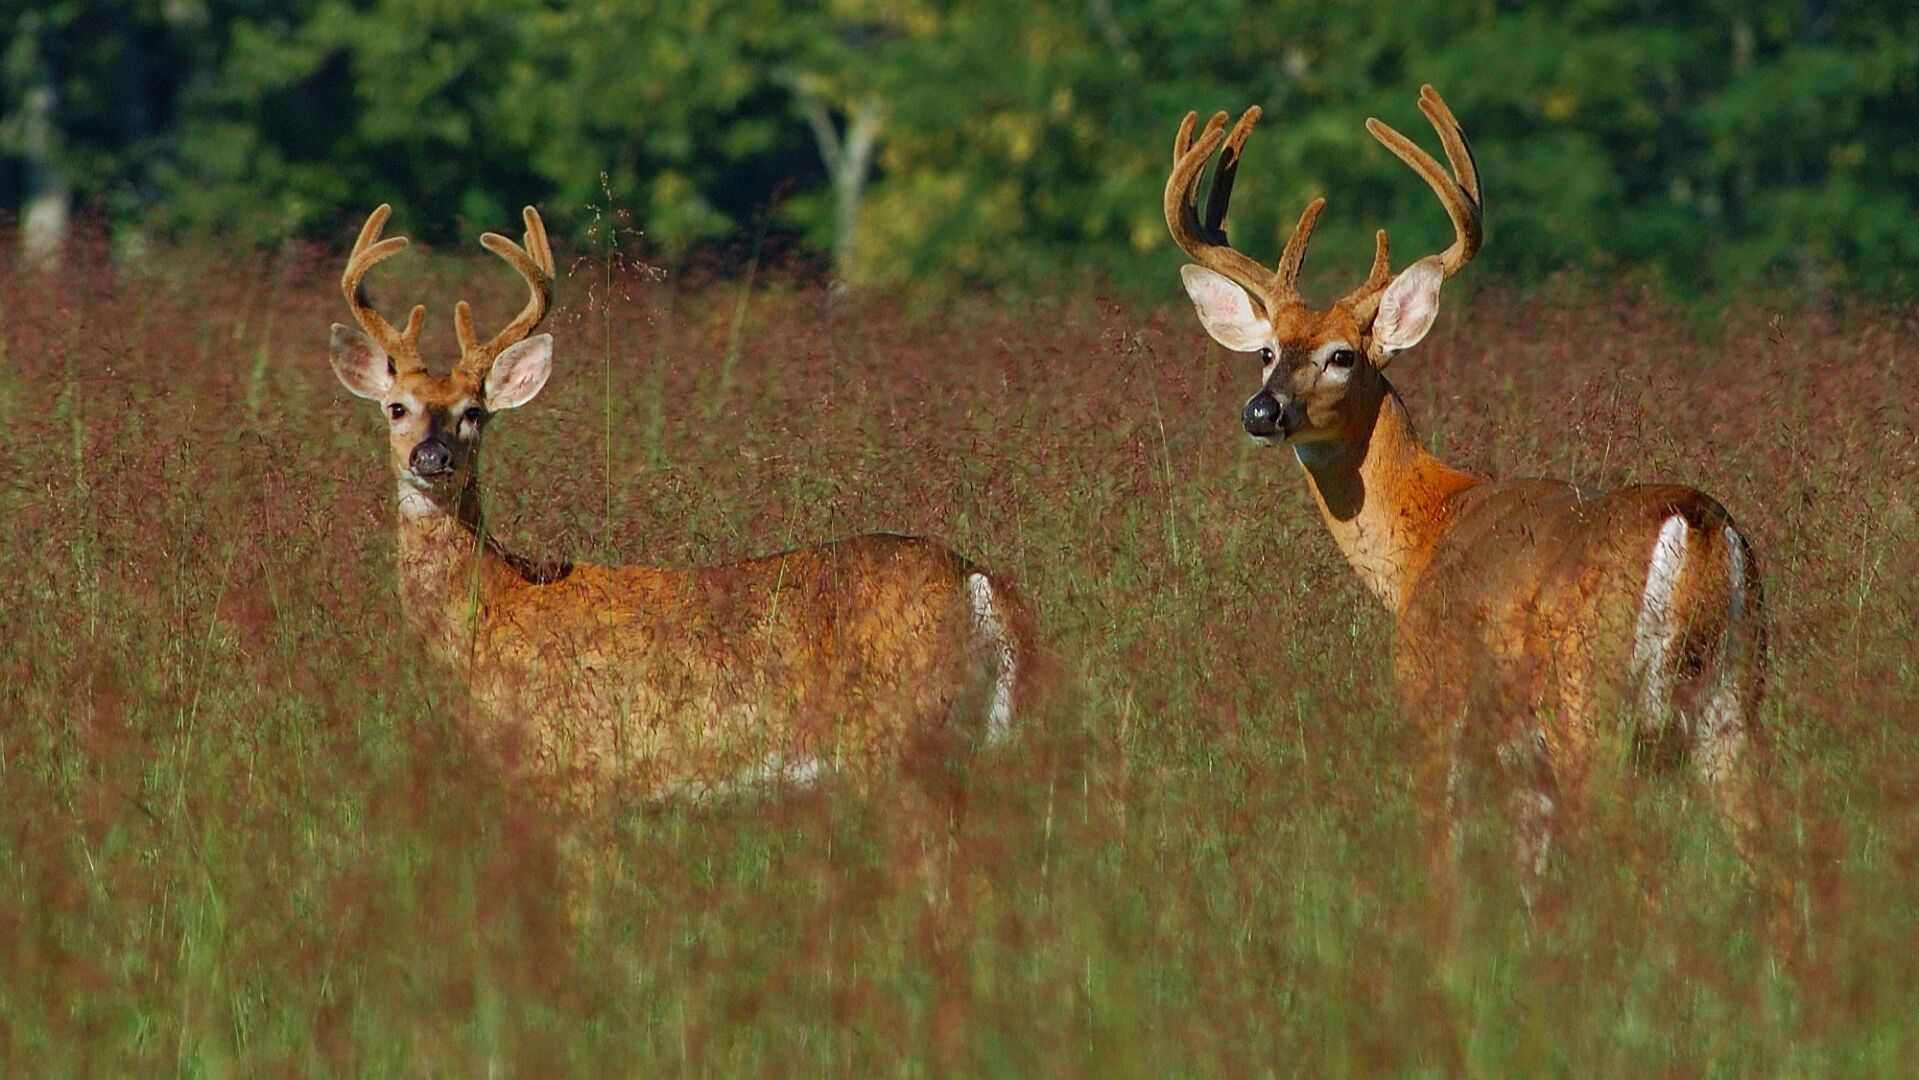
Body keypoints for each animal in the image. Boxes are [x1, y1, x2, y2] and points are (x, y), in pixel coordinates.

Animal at [322, 203, 1036, 817]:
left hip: (899, 740)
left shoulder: (578, 770)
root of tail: (976, 580)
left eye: (475, 413)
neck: (497, 607)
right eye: (397, 408)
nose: (432, 457)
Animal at [1151, 88, 1765, 909]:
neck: (1422, 536)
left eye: (1342, 355)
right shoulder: (1527, 763)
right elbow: (1531, 881)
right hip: (1734, 703)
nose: (1261, 411)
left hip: (1591, 699)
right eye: (1266, 351)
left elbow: (1443, 860)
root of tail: (1696, 526)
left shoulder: (1432, 701)